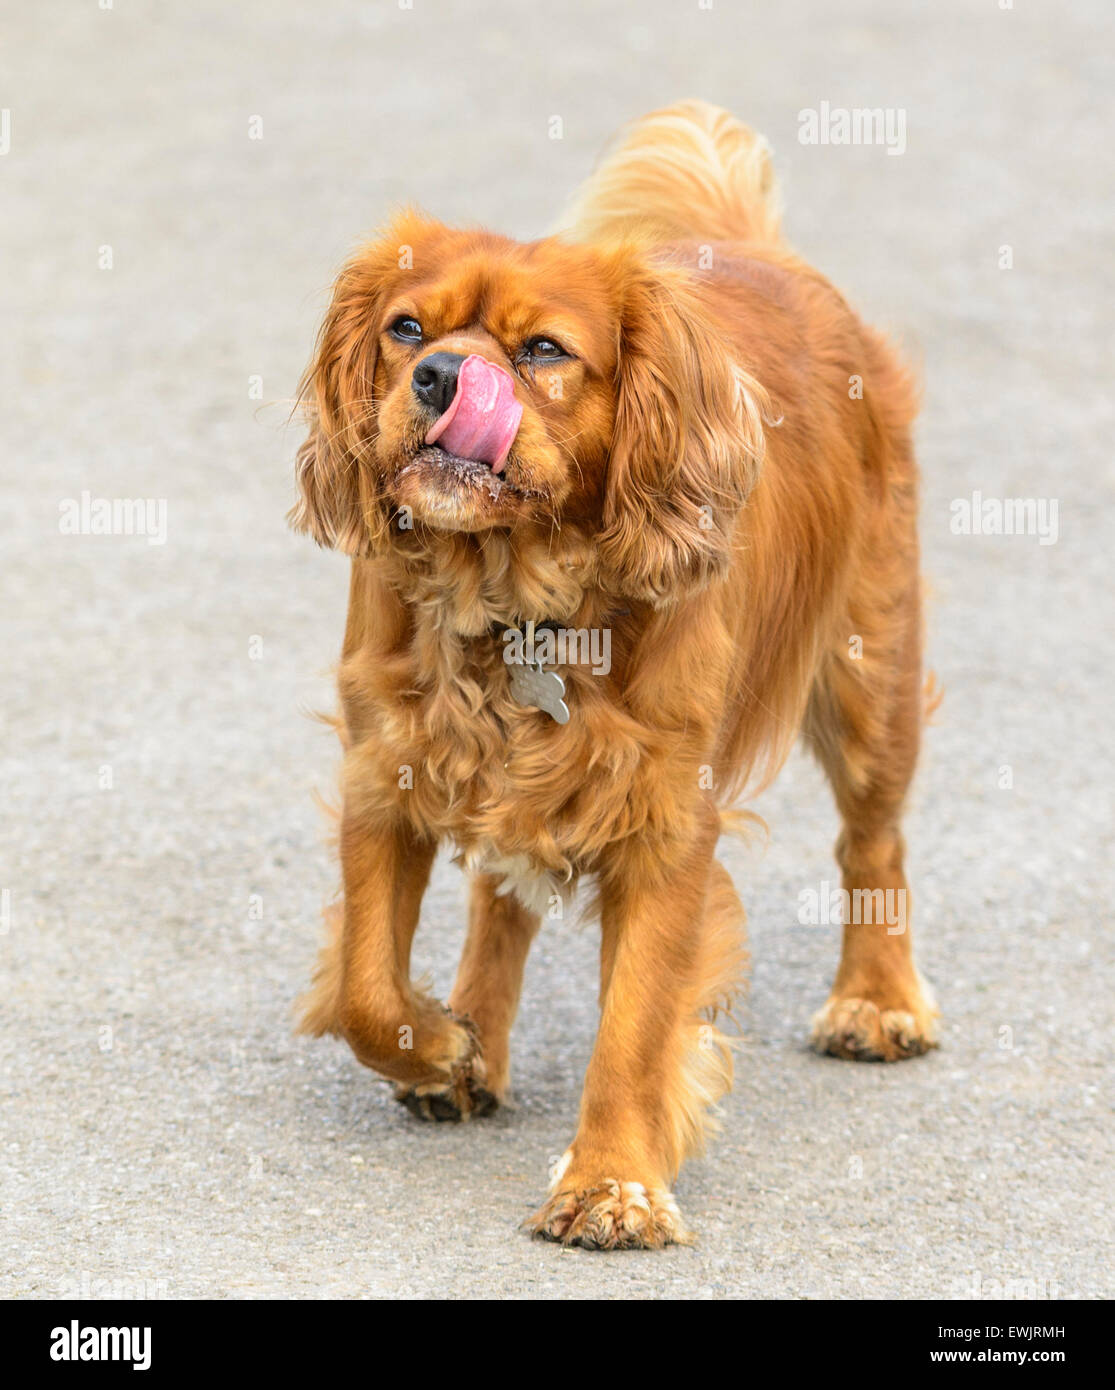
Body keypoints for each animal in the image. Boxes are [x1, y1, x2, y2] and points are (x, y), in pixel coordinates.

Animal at [290, 97, 934, 1251]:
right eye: (404, 329)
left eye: (543, 350)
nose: (440, 376)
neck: (512, 602)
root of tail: (763, 254)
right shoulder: (386, 766)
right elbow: (366, 984)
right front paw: (441, 1045)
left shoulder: (662, 821)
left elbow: (635, 1025)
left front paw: (611, 1184)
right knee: (501, 895)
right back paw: (477, 1037)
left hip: (871, 676)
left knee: (874, 841)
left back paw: (876, 999)